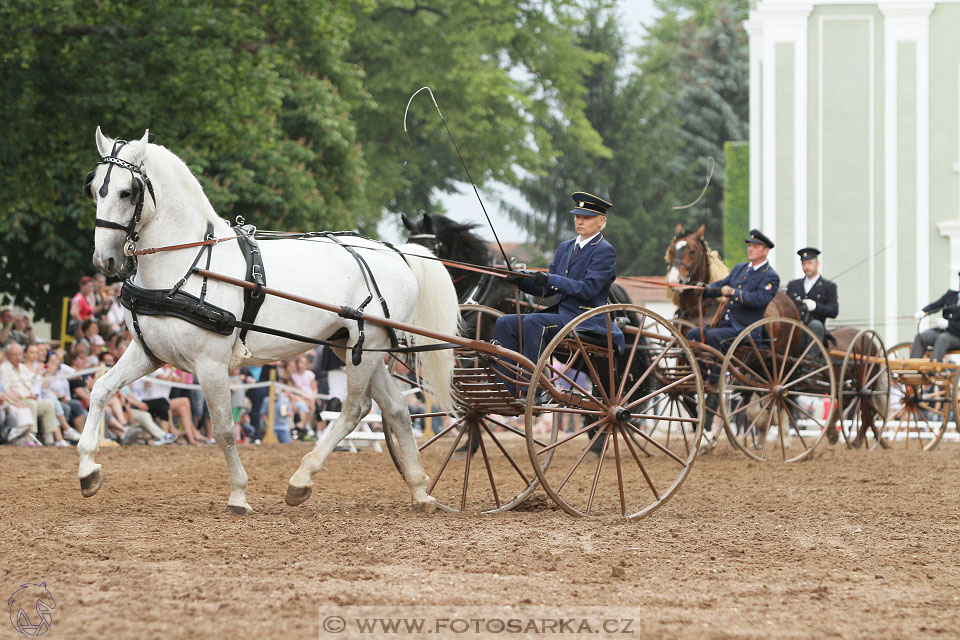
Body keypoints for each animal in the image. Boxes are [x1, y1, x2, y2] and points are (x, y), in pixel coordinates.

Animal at [77, 127, 460, 512]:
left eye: (128, 192)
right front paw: (87, 469)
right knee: (395, 409)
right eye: (94, 188)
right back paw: (420, 490)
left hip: (367, 347)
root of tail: (396, 252)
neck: (187, 264)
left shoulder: (210, 364)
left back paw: (302, 479)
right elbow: (100, 389)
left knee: (355, 408)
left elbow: (224, 429)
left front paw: (238, 494)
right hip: (352, 346)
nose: (104, 259)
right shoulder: (148, 353)